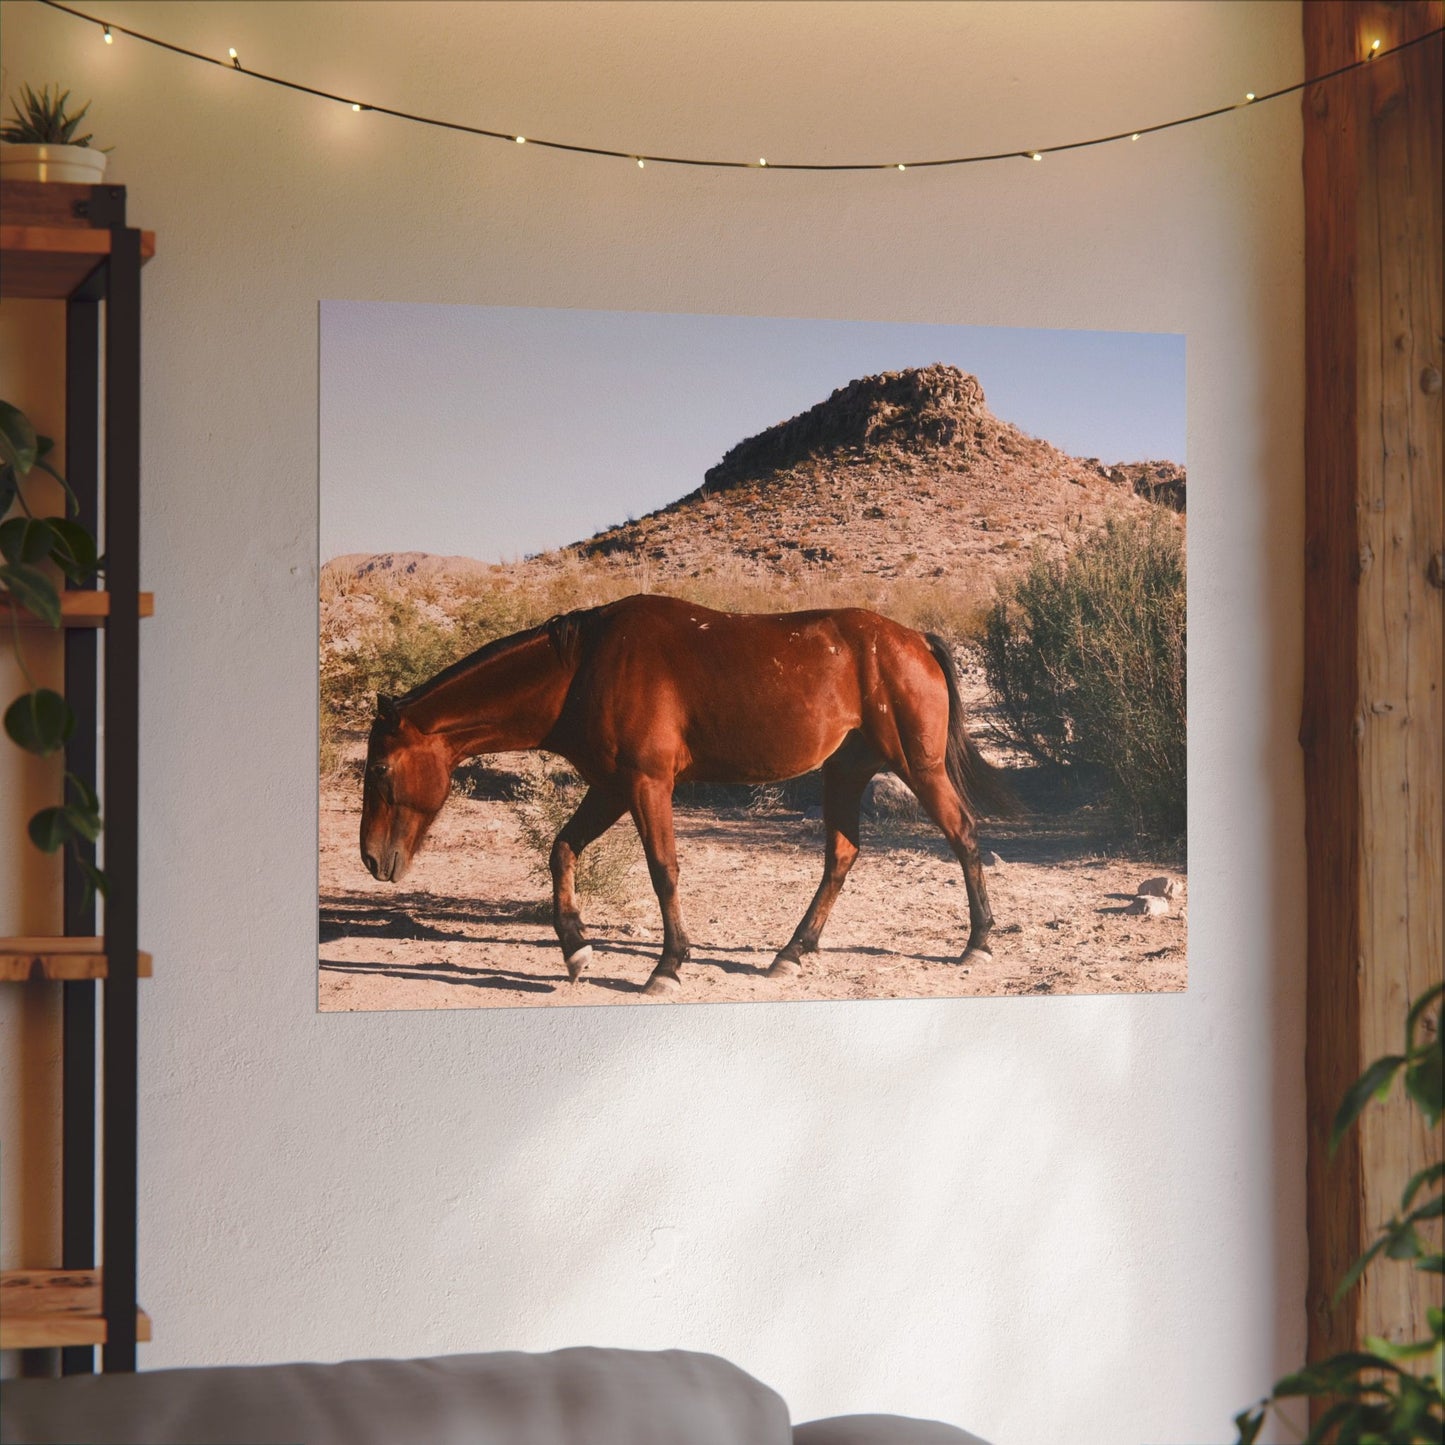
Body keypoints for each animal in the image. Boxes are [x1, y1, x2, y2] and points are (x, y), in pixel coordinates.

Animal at [358, 593, 1011, 996]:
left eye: (382, 769)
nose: (371, 859)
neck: (582, 668)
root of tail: (915, 639)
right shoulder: (611, 787)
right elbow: (561, 851)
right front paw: (575, 950)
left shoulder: (646, 784)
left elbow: (662, 869)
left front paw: (668, 965)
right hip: (845, 774)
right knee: (842, 857)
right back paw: (792, 952)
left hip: (917, 767)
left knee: (963, 834)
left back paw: (977, 943)